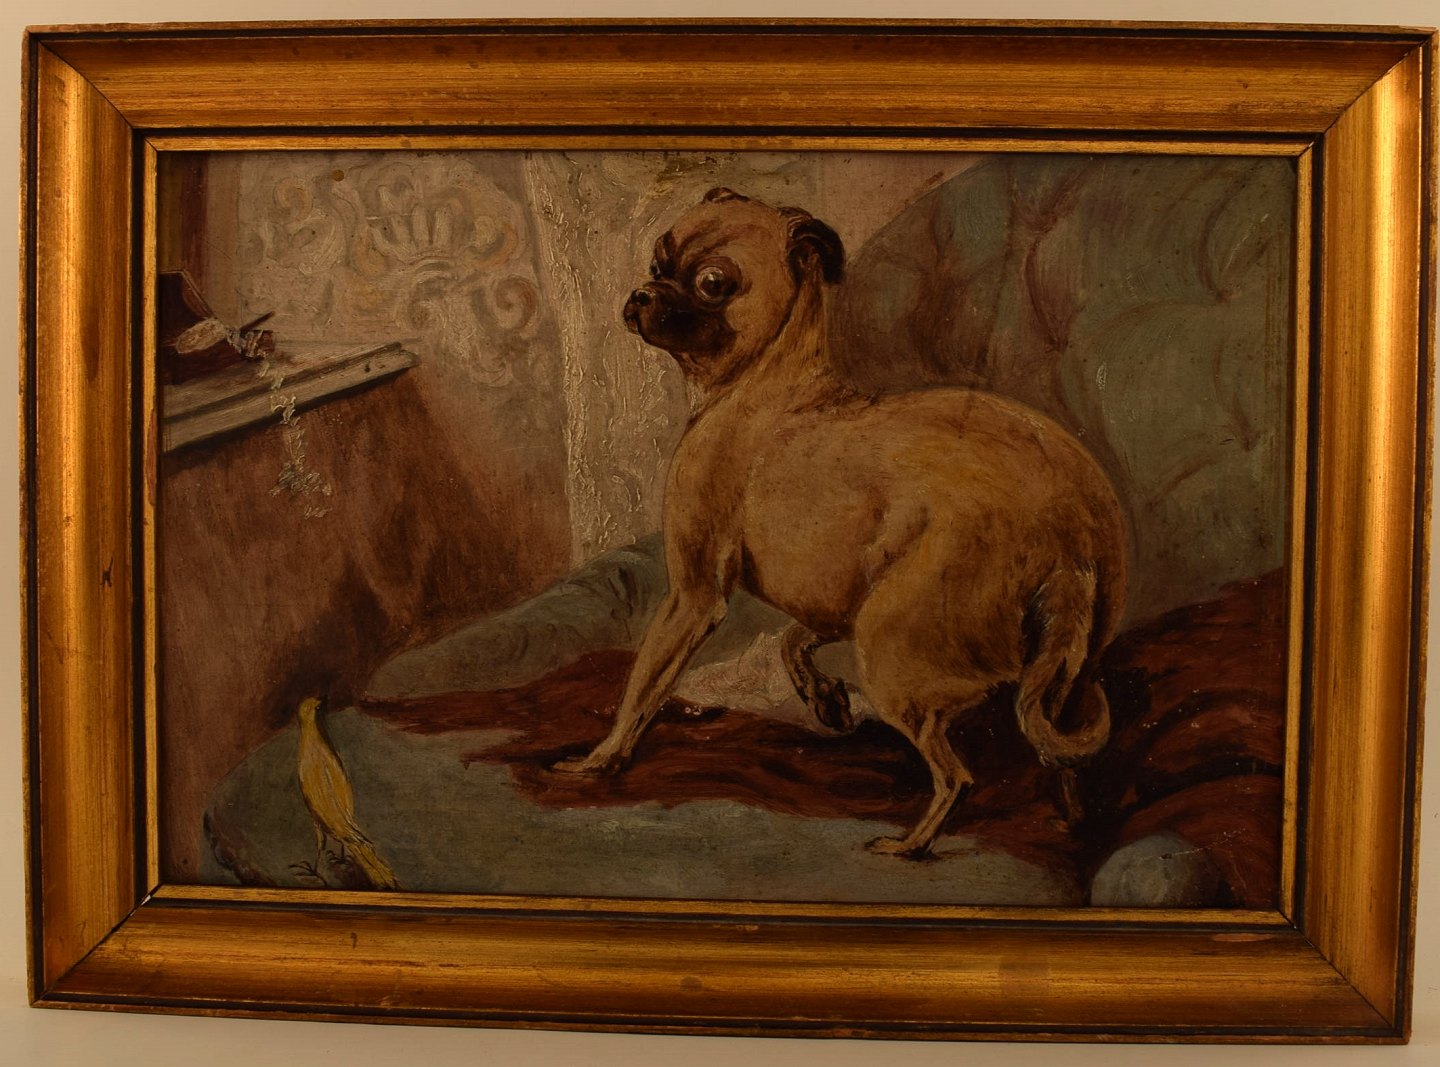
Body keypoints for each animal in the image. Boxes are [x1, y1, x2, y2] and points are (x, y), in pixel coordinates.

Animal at [554, 187, 1128, 858]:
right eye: (656, 261)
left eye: (712, 283)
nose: (644, 292)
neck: (768, 380)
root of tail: (1072, 542)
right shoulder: (836, 597)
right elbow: (793, 638)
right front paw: (824, 699)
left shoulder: (694, 597)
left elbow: (644, 685)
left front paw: (600, 760)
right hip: (1053, 668)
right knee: (1057, 754)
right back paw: (1070, 820)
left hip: (892, 645)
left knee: (955, 773)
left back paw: (912, 846)